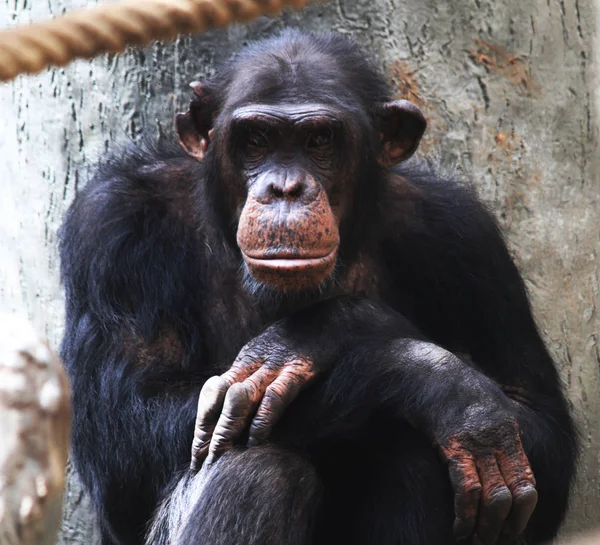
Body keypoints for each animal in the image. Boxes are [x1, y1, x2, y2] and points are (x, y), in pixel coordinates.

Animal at [58, 29, 580, 544]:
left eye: (320, 139)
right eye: (257, 139)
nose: (286, 189)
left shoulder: (467, 237)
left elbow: (537, 426)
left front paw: (329, 331)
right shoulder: (112, 229)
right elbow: (128, 435)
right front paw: (435, 377)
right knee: (257, 464)